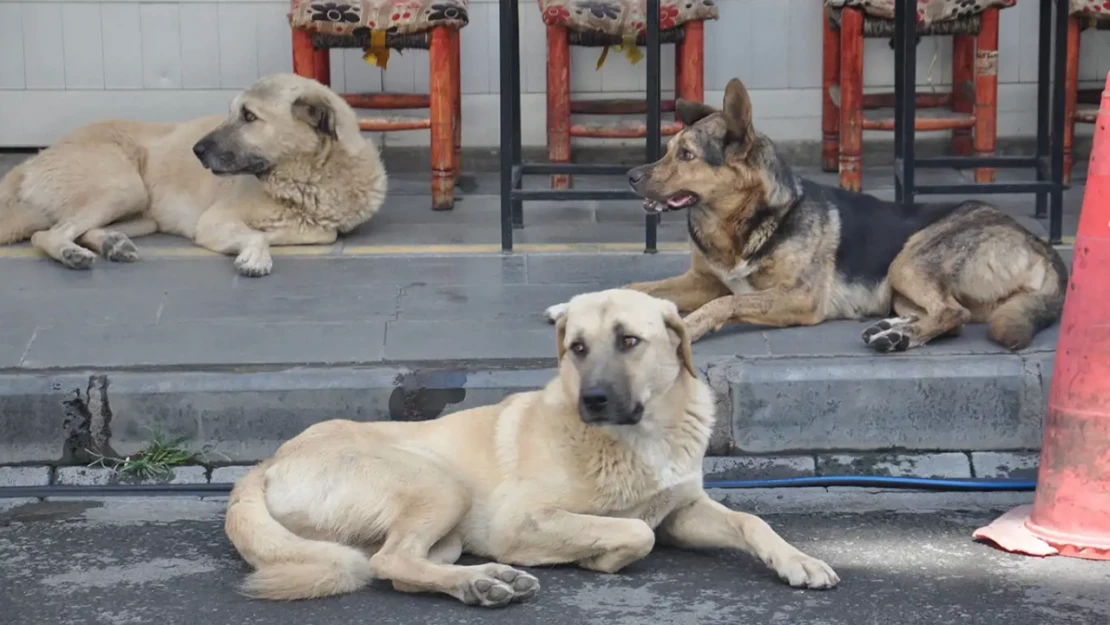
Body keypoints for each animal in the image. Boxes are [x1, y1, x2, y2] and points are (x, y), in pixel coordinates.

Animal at [0, 72, 386, 275]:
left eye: (249, 117)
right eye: (233, 112)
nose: (196, 150)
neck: (308, 179)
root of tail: (29, 162)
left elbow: (321, 233)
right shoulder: (213, 221)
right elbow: (259, 234)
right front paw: (256, 253)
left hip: (142, 214)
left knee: (81, 229)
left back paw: (112, 243)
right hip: (123, 187)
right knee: (46, 234)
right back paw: (71, 253)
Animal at [220, 288, 834, 608]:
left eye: (629, 341)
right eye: (577, 348)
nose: (592, 399)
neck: (639, 437)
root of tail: (265, 465)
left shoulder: (683, 511)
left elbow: (751, 520)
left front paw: (798, 560)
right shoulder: (519, 520)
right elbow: (633, 531)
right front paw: (598, 557)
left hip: (444, 529)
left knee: (399, 567)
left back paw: (486, 580)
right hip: (440, 484)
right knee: (389, 561)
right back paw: (483, 582)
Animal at [546, 77, 1065, 353]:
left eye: (687, 155)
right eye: (670, 150)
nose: (631, 176)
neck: (744, 223)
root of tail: (1041, 244)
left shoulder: (796, 299)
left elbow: (724, 304)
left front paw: (687, 330)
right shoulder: (701, 281)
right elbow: (634, 288)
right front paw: (570, 306)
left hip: (909, 258)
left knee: (952, 312)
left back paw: (898, 338)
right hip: (901, 288)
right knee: (949, 316)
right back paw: (893, 333)